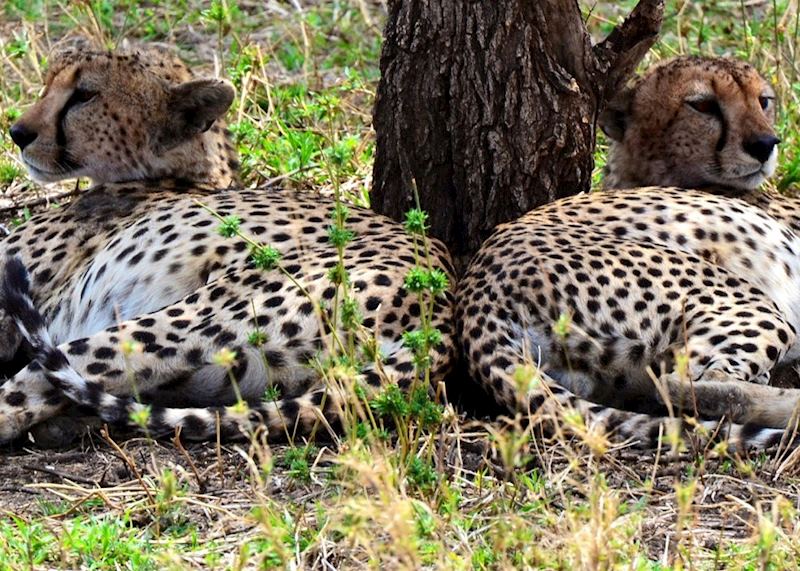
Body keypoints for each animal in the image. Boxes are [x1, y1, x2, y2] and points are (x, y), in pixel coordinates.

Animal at [0, 35, 456, 445]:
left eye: (84, 95)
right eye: (48, 82)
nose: (17, 132)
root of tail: (440, 318)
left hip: (190, 317)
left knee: (23, 395)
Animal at [458, 56, 800, 451]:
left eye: (763, 101)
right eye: (703, 106)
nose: (765, 143)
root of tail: (475, 295)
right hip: (742, 300)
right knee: (684, 382)